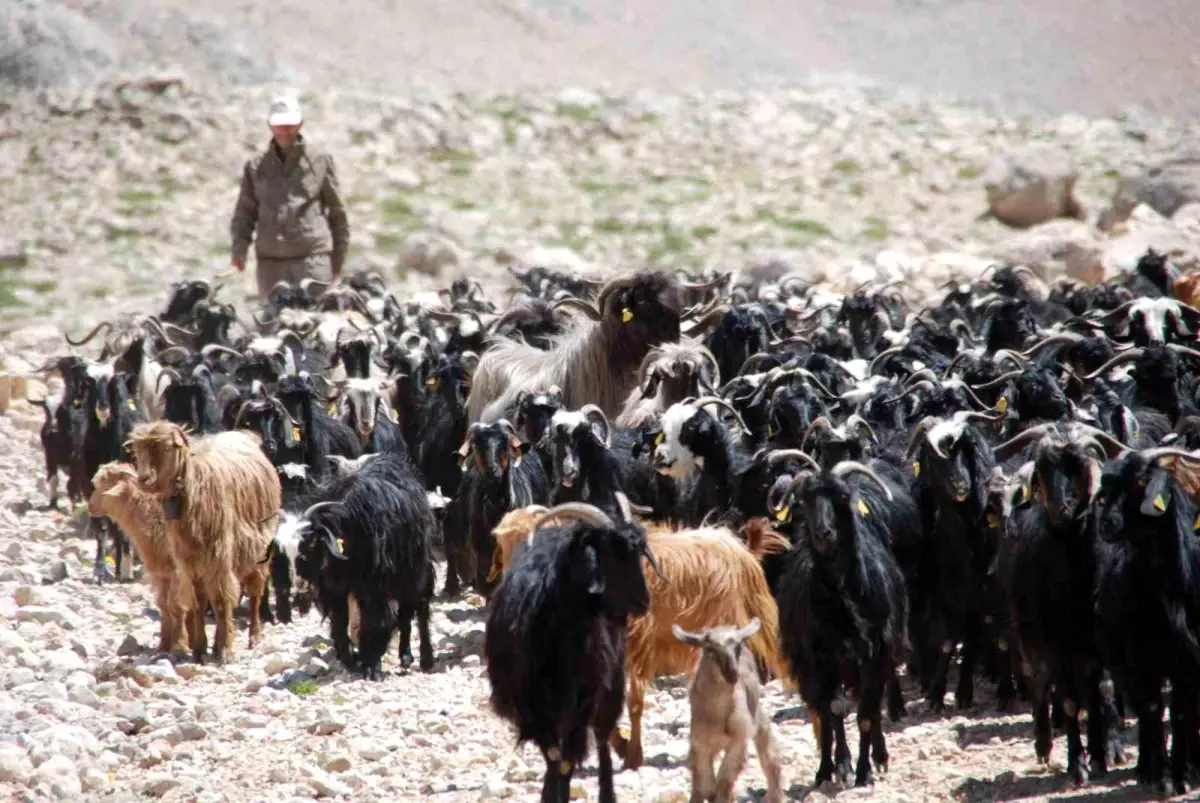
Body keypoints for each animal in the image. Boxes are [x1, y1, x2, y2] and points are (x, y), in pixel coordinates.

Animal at [127, 422, 283, 662]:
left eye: (166, 448)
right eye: (137, 451)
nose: (144, 479)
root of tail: (245, 434)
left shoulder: (218, 556)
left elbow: (220, 602)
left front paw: (226, 650)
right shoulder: (189, 563)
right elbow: (198, 604)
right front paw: (200, 649)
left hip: (258, 547)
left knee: (255, 592)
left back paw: (254, 635)